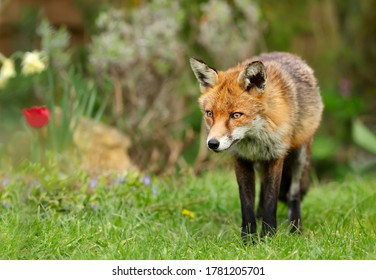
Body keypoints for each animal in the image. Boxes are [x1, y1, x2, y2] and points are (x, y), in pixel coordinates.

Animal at [191, 52, 324, 241]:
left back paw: (295, 228)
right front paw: (248, 239)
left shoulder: (276, 156)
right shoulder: (242, 159)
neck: (254, 140)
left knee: (293, 193)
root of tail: (288, 54)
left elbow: (271, 200)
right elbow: (246, 204)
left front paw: (268, 237)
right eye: (210, 114)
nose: (212, 144)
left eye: (236, 115)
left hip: (300, 156)